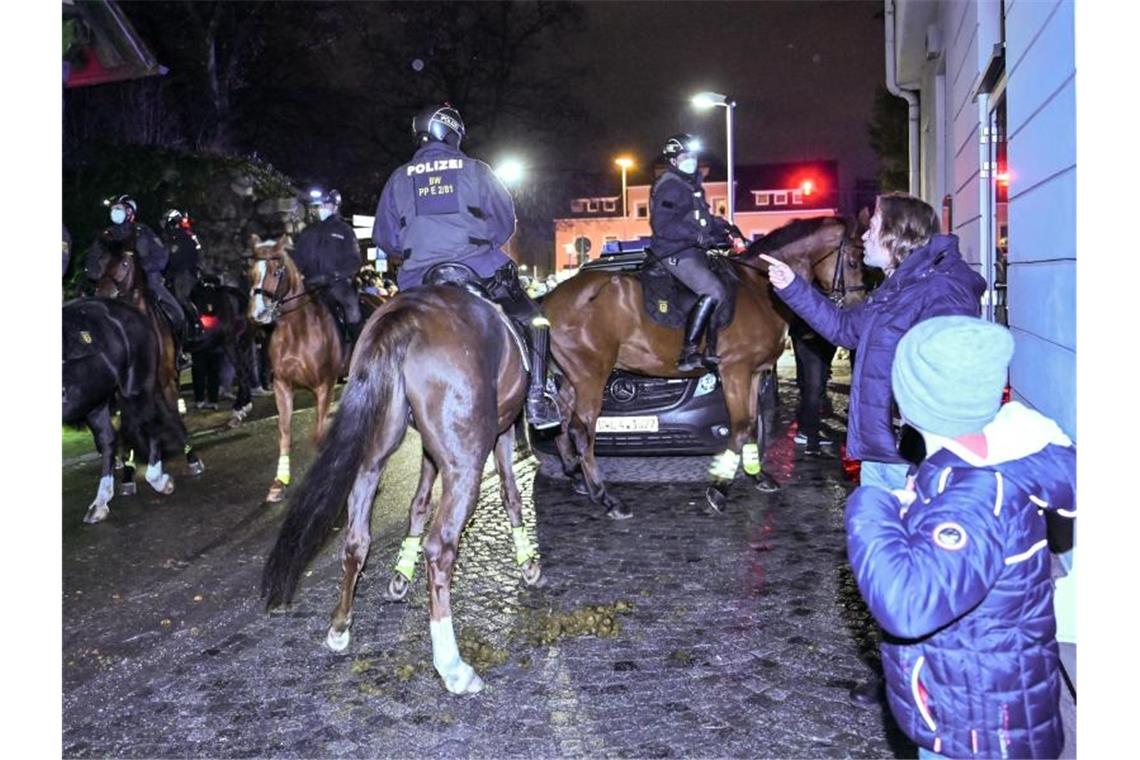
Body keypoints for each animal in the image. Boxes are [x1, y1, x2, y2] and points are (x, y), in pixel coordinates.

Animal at [246, 234, 383, 501]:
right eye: (251, 272)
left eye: (277, 271)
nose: (258, 314)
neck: (297, 331)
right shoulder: (282, 385)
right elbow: (285, 432)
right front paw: (279, 481)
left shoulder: (323, 386)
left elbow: (319, 436)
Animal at [262, 283, 538, 697]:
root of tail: (408, 316)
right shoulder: (502, 432)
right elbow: (510, 494)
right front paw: (528, 564)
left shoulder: (427, 447)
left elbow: (419, 501)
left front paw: (400, 573)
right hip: (466, 463)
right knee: (440, 548)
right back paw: (452, 666)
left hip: (373, 452)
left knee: (357, 539)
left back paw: (340, 626)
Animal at [542, 216, 861, 519]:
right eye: (854, 261)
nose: (858, 307)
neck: (758, 288)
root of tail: (550, 299)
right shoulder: (735, 371)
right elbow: (740, 427)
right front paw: (719, 489)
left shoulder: (754, 374)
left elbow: (751, 423)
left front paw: (758, 476)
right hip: (591, 376)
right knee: (581, 430)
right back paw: (606, 497)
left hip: (570, 378)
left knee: (563, 423)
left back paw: (576, 476)